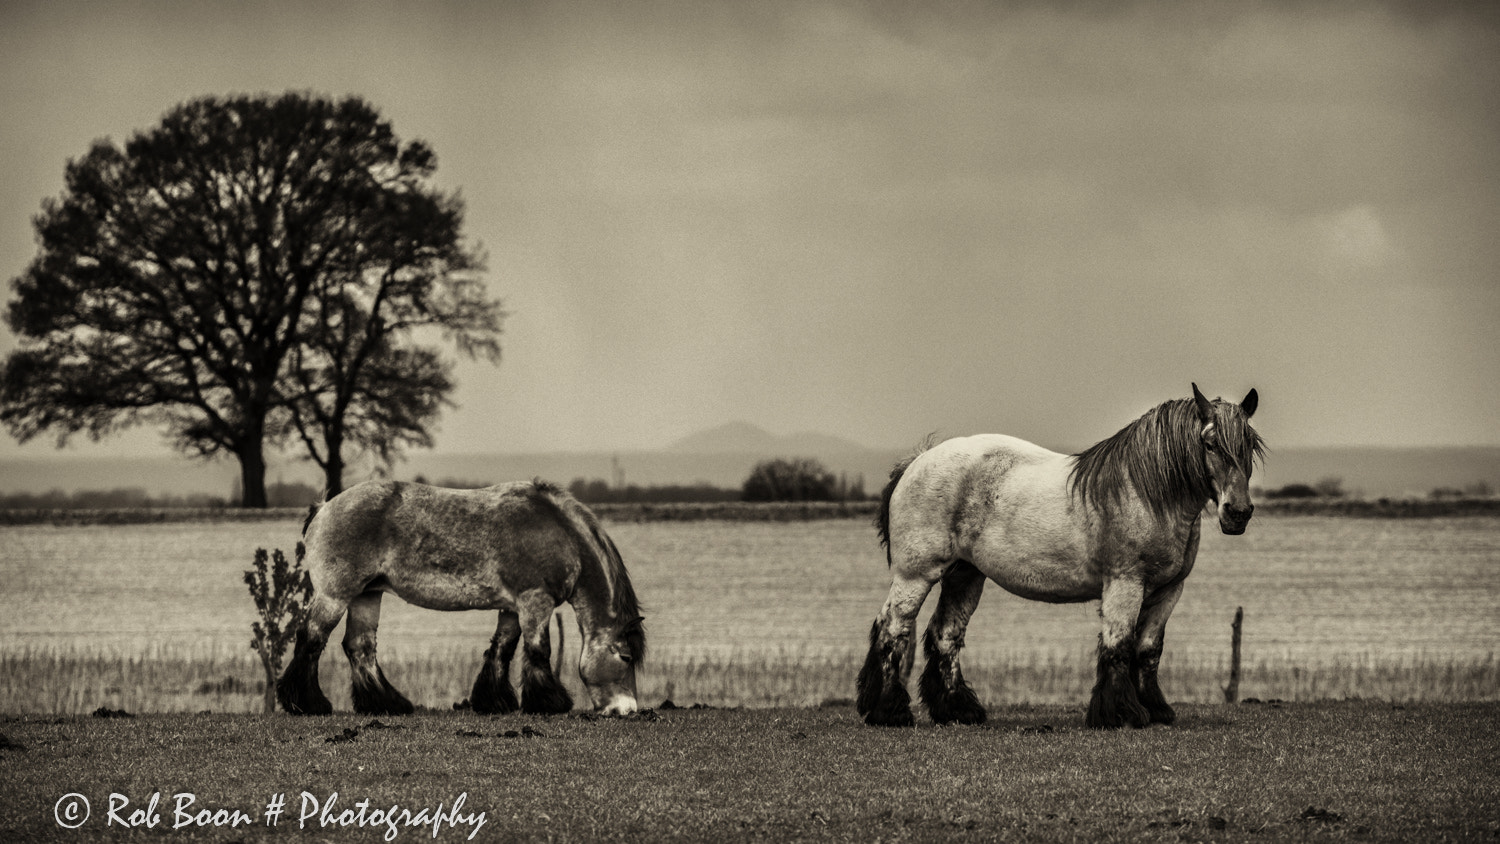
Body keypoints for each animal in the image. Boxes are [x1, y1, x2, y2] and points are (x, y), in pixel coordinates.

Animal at [277, 479, 646, 717]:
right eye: (626, 657)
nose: (627, 710)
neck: (557, 533)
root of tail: (324, 507)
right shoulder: (535, 602)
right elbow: (539, 650)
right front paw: (549, 703)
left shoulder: (512, 608)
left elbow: (502, 649)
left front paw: (495, 703)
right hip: (335, 596)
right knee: (312, 639)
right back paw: (308, 705)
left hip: (367, 596)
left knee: (360, 648)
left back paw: (387, 705)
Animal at [856, 384, 1262, 730]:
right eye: (1209, 443)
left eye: (1250, 445)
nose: (1238, 513)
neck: (1145, 495)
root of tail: (918, 460)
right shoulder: (1125, 583)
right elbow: (1119, 644)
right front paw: (1121, 714)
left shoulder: (1169, 590)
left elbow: (1148, 649)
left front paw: (1157, 710)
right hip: (916, 575)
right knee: (893, 628)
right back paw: (889, 711)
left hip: (964, 575)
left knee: (945, 636)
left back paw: (958, 710)